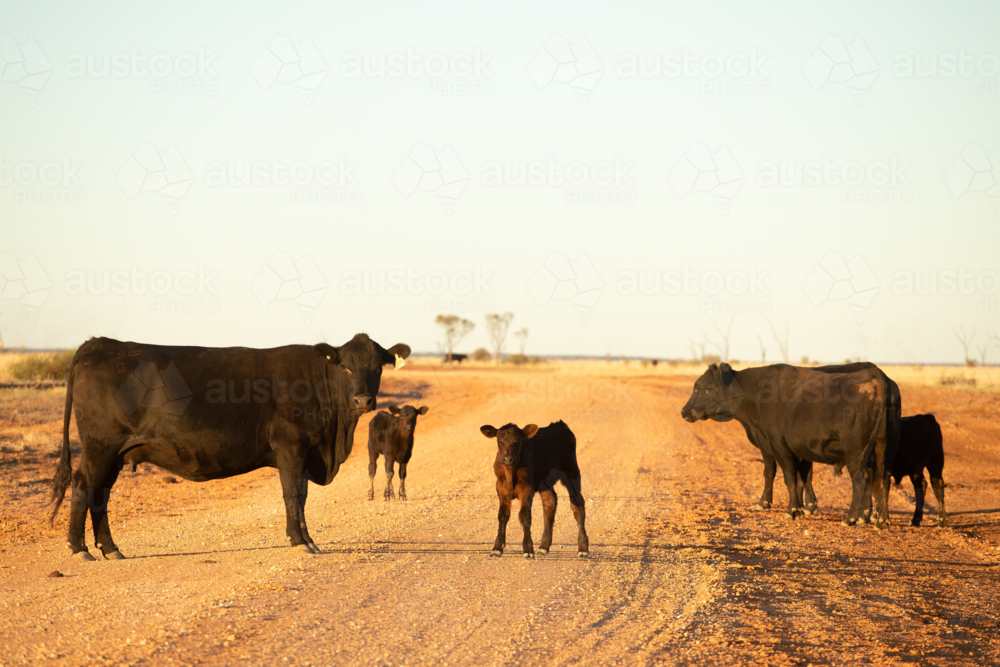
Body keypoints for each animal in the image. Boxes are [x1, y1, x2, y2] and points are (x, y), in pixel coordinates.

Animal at [50, 334, 410, 561]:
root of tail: (100, 343)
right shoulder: (291, 448)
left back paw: (110, 548)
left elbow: (302, 496)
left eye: (377, 367)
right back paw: (80, 549)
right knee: (84, 486)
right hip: (100, 447)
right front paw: (300, 541)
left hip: (115, 454)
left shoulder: (305, 453)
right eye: (346, 366)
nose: (363, 400)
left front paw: (308, 540)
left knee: (100, 494)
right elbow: (293, 494)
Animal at [479, 421, 589, 558]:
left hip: (572, 472)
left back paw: (583, 548)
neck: (510, 474)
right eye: (499, 441)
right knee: (549, 502)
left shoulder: (527, 488)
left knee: (577, 504)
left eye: (518, 441)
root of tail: (559, 424)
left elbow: (524, 516)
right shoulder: (499, 486)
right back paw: (543, 547)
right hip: (545, 482)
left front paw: (528, 550)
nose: (507, 459)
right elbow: (503, 515)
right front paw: (497, 548)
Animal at [681, 363, 900, 528]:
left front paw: (787, 508)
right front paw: (805, 508)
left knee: (861, 479)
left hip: (856, 451)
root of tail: (876, 375)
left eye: (704, 388)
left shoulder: (775, 445)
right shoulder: (799, 450)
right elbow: (802, 478)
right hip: (883, 448)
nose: (685, 411)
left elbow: (782, 476)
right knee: (883, 479)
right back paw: (880, 520)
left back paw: (851, 518)